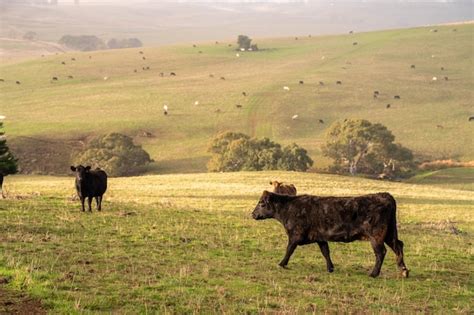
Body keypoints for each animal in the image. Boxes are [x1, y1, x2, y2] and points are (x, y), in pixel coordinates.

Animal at [250, 191, 410, 278]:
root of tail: (384, 195)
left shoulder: (295, 236)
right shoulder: (320, 238)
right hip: (389, 234)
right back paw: (404, 271)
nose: (253, 214)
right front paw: (330, 268)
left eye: (261, 203)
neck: (288, 207)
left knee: (381, 252)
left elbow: (289, 250)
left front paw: (282, 263)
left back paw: (374, 273)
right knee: (398, 246)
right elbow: (325, 252)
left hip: (376, 237)